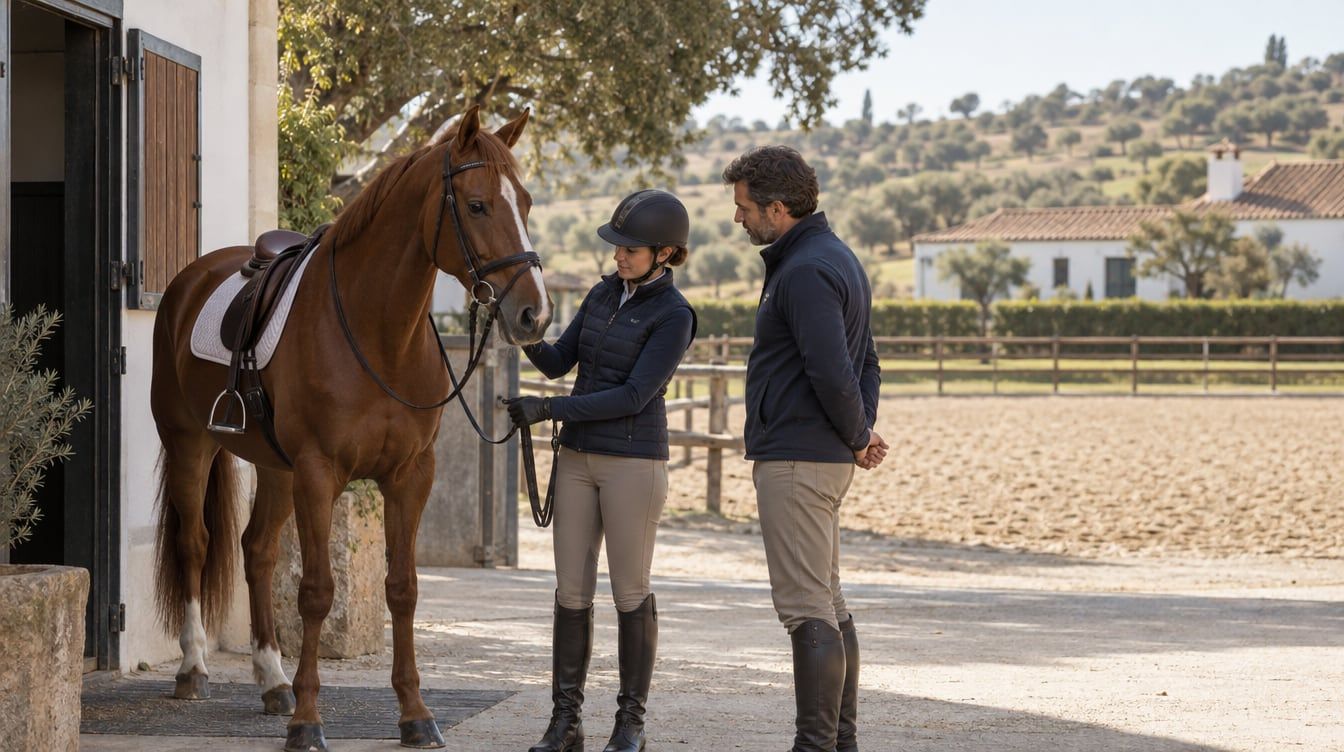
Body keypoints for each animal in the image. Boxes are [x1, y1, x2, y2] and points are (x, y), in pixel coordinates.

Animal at [149, 105, 550, 751]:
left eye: (528, 203)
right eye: (477, 205)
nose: (535, 314)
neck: (375, 329)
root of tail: (193, 278)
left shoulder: (409, 475)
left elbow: (403, 588)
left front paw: (415, 714)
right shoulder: (319, 473)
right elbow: (316, 593)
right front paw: (308, 723)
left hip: (274, 467)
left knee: (257, 551)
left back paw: (272, 680)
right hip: (191, 445)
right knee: (196, 544)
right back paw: (194, 670)